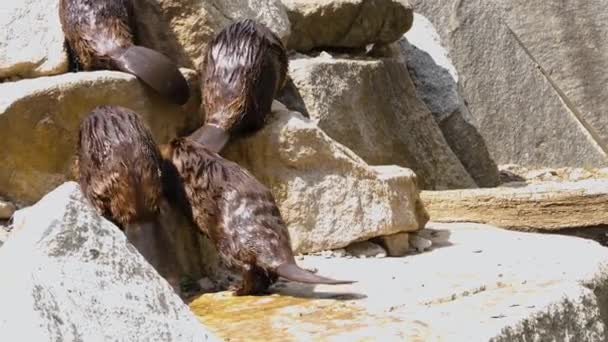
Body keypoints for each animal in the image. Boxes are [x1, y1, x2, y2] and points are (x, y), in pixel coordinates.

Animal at [164, 138, 354, 296]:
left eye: (173, 145)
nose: (172, 141)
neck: (203, 162)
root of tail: (281, 261)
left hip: (226, 244)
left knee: (247, 267)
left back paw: (236, 290)